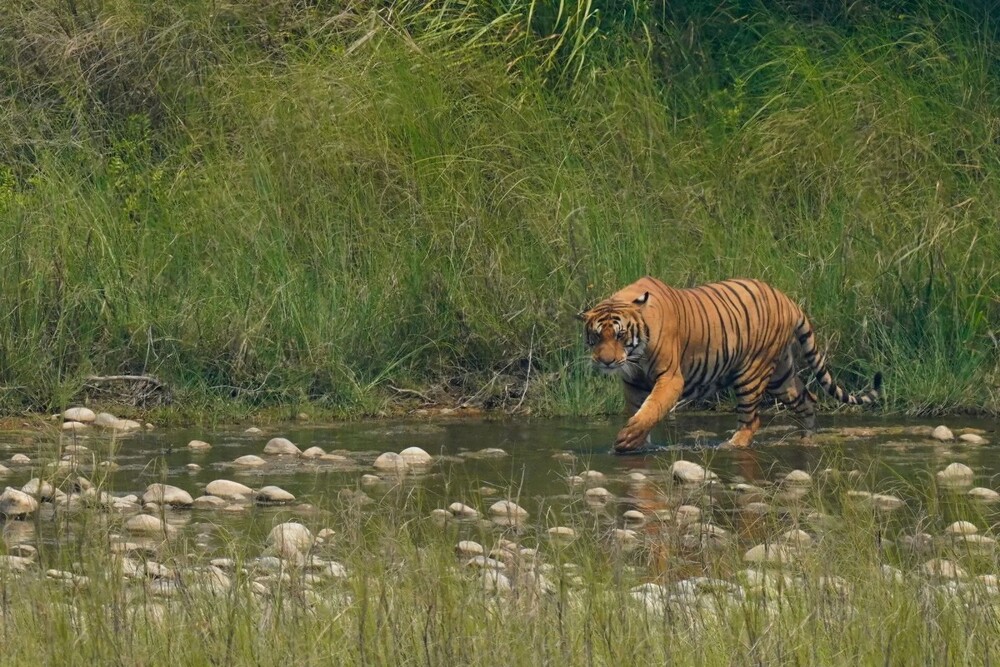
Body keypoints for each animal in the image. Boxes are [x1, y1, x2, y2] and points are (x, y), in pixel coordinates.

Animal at [580, 274, 884, 452]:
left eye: (620, 335)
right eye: (596, 337)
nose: (606, 362)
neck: (635, 356)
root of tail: (788, 300)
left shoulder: (670, 377)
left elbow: (651, 409)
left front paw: (628, 436)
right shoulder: (633, 383)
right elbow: (639, 410)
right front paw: (634, 443)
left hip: (752, 373)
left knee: (752, 420)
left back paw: (731, 445)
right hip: (781, 375)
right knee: (807, 399)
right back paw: (807, 439)